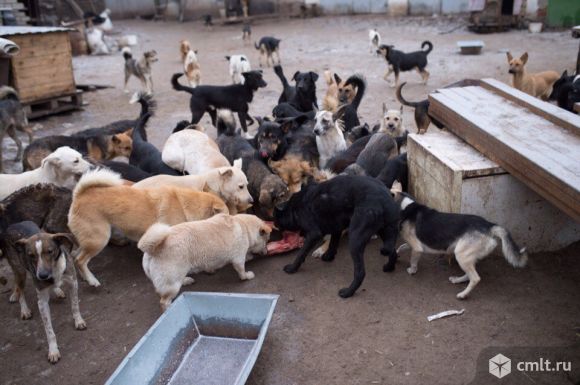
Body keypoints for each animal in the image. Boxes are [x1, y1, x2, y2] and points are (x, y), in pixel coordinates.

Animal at [68, 168, 229, 284]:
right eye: (226, 217)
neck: (184, 206)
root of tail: (80, 194)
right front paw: (185, 279)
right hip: (99, 240)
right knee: (80, 260)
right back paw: (92, 281)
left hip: (90, 240)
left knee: (75, 257)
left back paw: (84, 277)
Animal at [139, 212, 272, 310]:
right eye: (266, 241)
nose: (267, 251)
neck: (244, 225)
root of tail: (152, 249)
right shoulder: (238, 259)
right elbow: (242, 271)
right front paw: (247, 275)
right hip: (172, 284)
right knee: (164, 302)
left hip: (176, 277)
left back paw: (186, 280)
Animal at [274, 176, 402, 298]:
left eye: (276, 220)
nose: (275, 227)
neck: (294, 205)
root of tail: (387, 199)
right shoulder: (336, 226)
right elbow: (333, 243)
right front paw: (329, 256)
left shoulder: (314, 233)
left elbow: (301, 253)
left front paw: (292, 268)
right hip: (385, 232)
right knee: (393, 252)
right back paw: (389, 267)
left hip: (355, 239)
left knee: (360, 273)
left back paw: (348, 292)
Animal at [392, 192, 528, 300]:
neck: (407, 208)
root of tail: (489, 226)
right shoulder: (411, 244)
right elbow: (401, 247)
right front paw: (396, 255)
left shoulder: (417, 248)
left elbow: (413, 260)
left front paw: (412, 270)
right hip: (467, 257)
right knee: (469, 275)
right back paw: (457, 280)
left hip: (461, 255)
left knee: (475, 278)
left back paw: (463, 294)